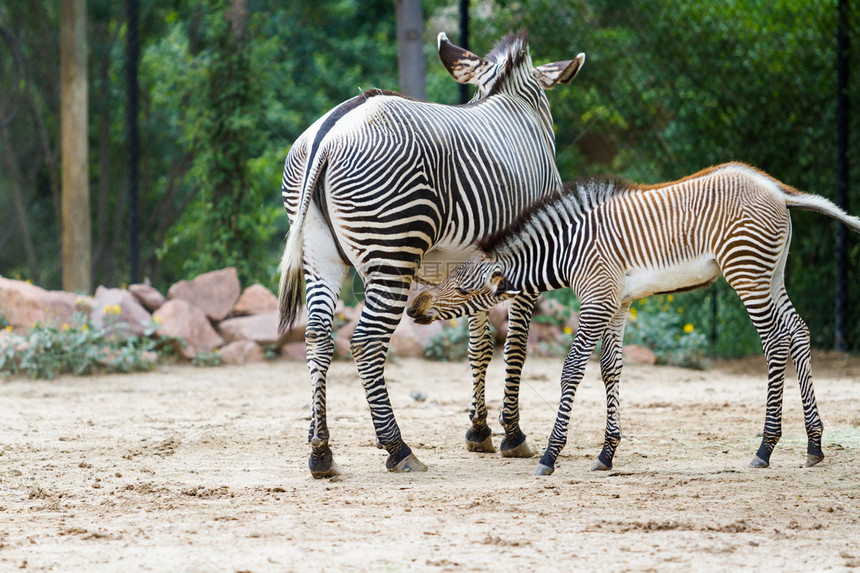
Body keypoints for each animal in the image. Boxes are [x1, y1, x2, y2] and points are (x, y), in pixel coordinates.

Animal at [278, 32, 588, 478]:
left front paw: (479, 431)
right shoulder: (527, 261)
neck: (513, 102)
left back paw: (321, 450)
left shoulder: (475, 270)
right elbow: (515, 347)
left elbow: (479, 345)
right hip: (392, 253)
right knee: (366, 341)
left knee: (318, 336)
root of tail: (331, 132)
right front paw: (512, 435)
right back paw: (398, 448)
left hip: (319, 255)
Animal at [408, 161, 860, 474]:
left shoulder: (595, 300)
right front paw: (607, 453)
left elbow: (573, 369)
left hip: (746, 273)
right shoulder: (617, 303)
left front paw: (552, 455)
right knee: (798, 332)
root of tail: (774, 188)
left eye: (464, 291)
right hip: (771, 273)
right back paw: (814, 446)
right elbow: (611, 369)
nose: (415, 307)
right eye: (449, 278)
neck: (568, 251)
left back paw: (765, 448)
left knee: (775, 342)